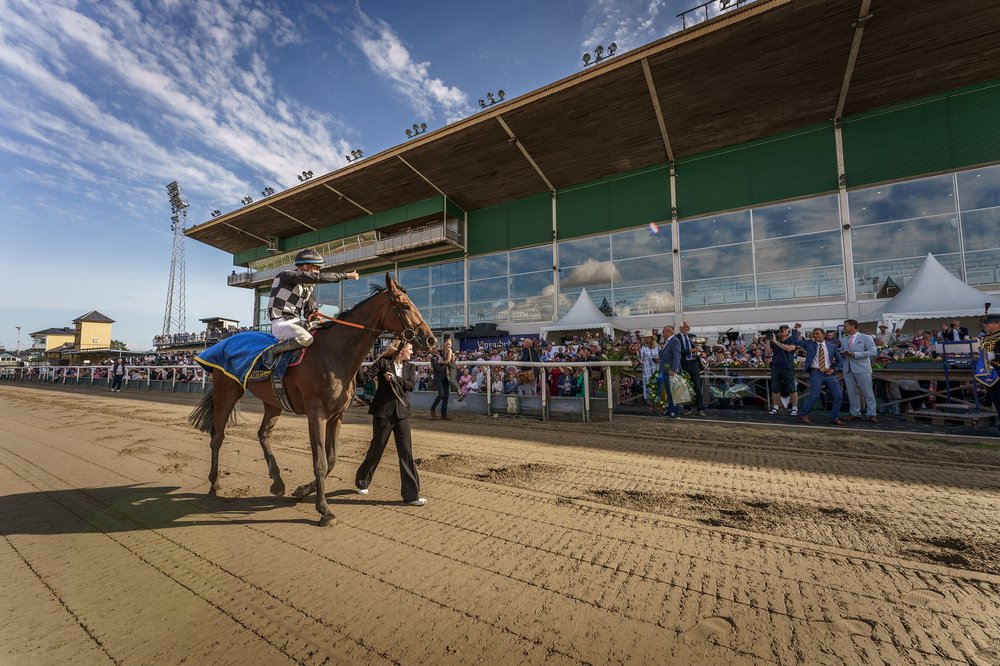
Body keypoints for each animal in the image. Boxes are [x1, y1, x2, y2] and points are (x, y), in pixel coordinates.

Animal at [189, 272, 436, 520]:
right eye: (405, 305)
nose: (431, 340)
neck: (334, 354)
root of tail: (221, 343)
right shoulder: (316, 414)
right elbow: (320, 462)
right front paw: (324, 510)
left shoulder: (336, 416)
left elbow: (331, 460)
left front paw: (302, 491)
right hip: (227, 392)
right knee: (217, 436)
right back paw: (214, 484)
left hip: (272, 402)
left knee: (263, 434)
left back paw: (277, 483)